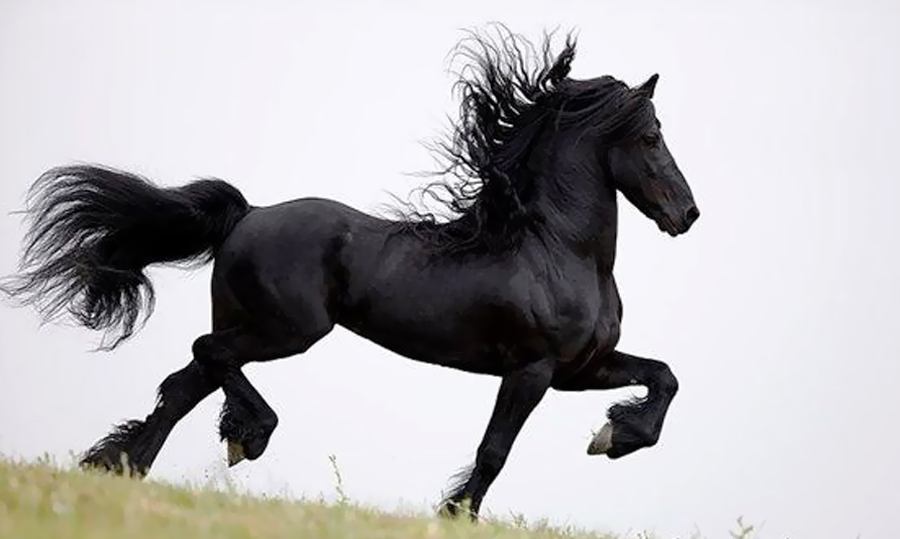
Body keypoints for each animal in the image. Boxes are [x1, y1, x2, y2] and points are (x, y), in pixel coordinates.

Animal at [0, 26, 699, 519]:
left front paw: (615, 435)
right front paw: (456, 513)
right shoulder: (532, 370)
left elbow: (663, 377)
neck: (556, 248)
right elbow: (495, 450)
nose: (687, 214)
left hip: (251, 325)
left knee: (185, 382)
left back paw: (122, 466)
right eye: (652, 136)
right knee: (205, 359)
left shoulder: (579, 370)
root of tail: (248, 215)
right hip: (287, 331)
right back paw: (246, 435)